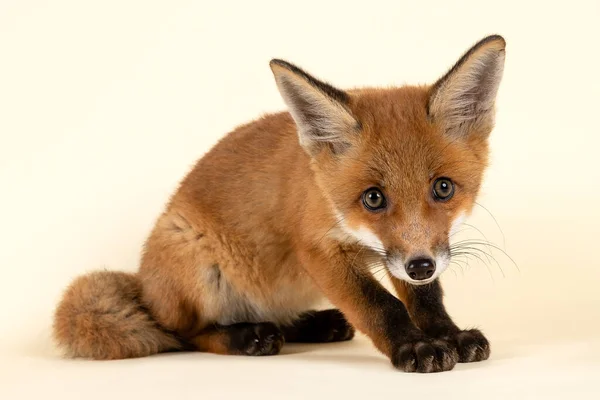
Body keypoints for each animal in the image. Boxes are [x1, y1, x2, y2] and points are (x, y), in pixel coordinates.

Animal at [52, 33, 506, 372]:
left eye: (443, 189)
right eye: (373, 198)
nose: (421, 266)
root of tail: (143, 288)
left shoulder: (406, 251)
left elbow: (425, 300)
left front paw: (448, 335)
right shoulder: (319, 249)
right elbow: (380, 305)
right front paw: (414, 347)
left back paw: (312, 324)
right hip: (195, 261)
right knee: (183, 334)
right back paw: (248, 335)